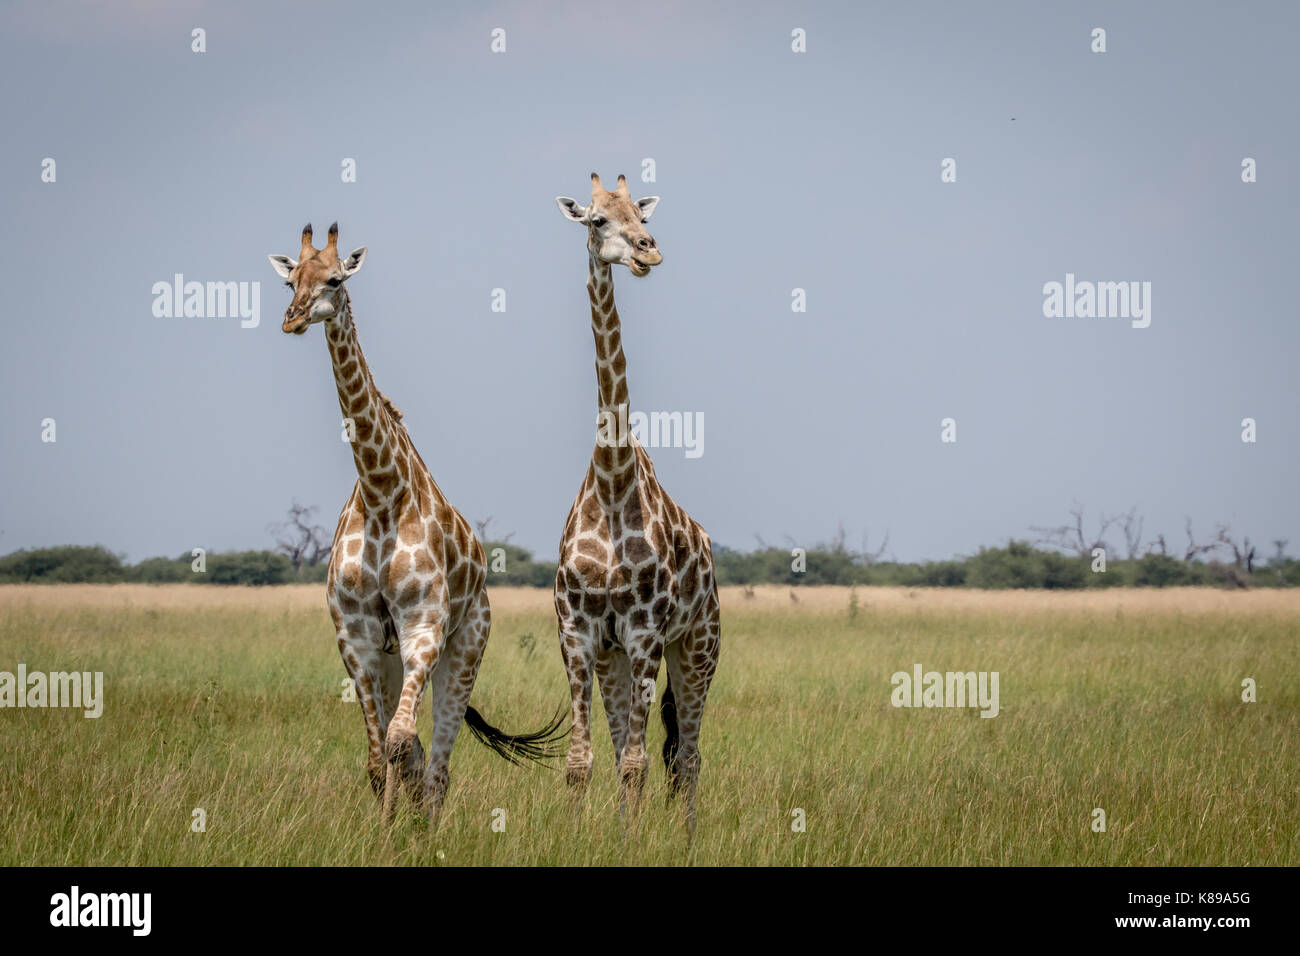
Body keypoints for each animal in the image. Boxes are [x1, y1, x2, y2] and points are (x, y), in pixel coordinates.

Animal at [268, 222, 562, 825]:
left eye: (334, 279)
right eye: (290, 279)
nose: (292, 318)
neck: (382, 491)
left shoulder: (424, 626)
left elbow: (402, 743)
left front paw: (398, 832)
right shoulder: (355, 636)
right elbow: (380, 756)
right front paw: (384, 829)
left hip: (466, 645)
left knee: (438, 764)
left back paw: (428, 824)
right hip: (392, 660)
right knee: (414, 753)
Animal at [553, 175, 721, 835]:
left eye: (639, 215)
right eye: (597, 219)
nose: (649, 250)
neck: (612, 482)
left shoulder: (648, 633)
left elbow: (636, 762)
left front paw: (629, 840)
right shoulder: (579, 633)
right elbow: (581, 760)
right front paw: (577, 837)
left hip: (696, 647)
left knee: (689, 756)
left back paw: (688, 837)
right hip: (615, 659)